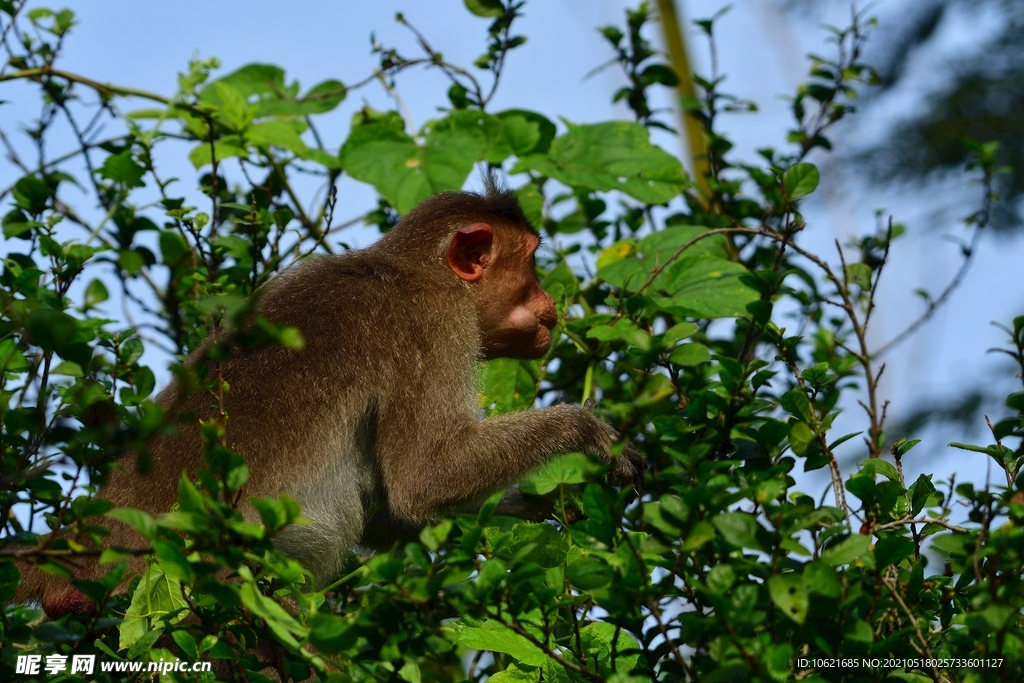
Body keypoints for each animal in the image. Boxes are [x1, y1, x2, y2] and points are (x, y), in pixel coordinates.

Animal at [9, 183, 638, 618]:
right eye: (530, 262)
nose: (550, 302)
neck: (412, 269)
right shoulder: (435, 326)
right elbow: (422, 479)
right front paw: (586, 433)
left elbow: (390, 506)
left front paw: (536, 502)